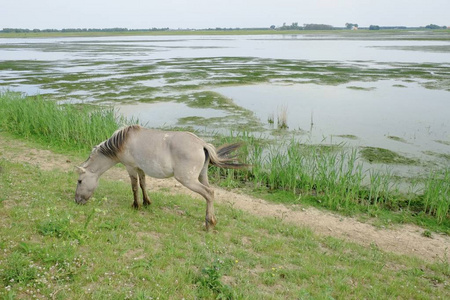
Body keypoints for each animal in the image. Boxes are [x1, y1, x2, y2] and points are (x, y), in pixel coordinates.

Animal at [75, 124, 248, 230]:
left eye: (79, 181)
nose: (77, 201)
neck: (122, 142)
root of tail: (202, 144)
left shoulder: (131, 168)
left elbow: (134, 187)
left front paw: (136, 205)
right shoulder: (140, 168)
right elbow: (143, 184)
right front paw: (146, 202)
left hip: (188, 180)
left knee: (209, 193)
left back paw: (209, 223)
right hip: (202, 176)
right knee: (210, 194)